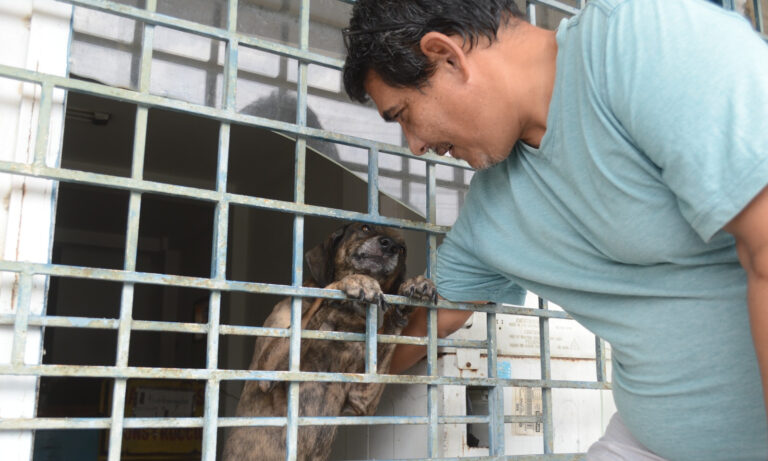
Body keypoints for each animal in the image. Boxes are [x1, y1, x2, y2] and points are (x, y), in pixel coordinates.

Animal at [225, 221, 436, 458]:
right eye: (365, 227)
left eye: (402, 249)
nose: (389, 245)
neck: (341, 317)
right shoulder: (268, 369)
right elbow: (327, 292)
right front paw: (354, 280)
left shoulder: (362, 398)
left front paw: (412, 288)